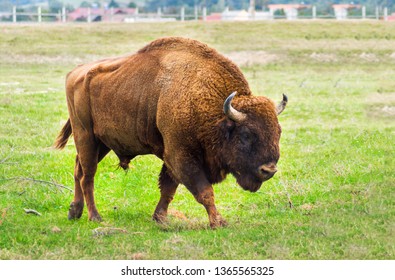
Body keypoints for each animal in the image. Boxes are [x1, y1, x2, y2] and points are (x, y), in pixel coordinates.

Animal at [54, 37, 288, 229]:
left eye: (278, 132)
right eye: (246, 135)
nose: (268, 170)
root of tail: (76, 72)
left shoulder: (172, 157)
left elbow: (168, 188)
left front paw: (160, 218)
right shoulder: (180, 155)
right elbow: (204, 191)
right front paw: (218, 222)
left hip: (102, 143)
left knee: (78, 170)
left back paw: (74, 212)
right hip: (85, 136)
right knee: (88, 175)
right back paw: (95, 217)